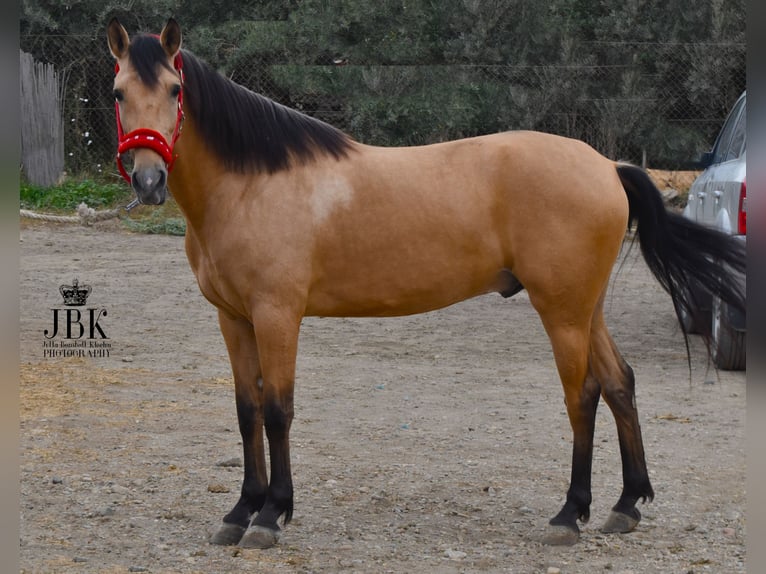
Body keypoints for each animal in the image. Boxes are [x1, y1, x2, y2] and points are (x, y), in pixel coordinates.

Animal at [108, 18, 752, 548]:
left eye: (175, 90)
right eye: (119, 93)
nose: (148, 181)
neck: (252, 183)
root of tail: (608, 167)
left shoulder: (276, 315)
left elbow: (277, 411)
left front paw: (270, 516)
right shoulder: (234, 318)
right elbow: (246, 411)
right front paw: (240, 512)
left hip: (562, 311)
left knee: (584, 395)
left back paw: (570, 514)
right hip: (585, 308)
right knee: (619, 383)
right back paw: (625, 505)